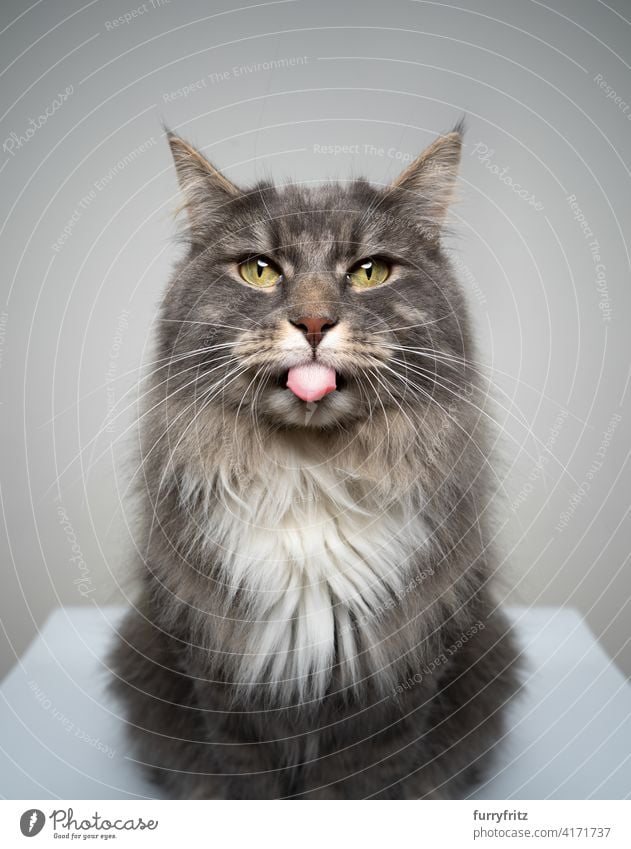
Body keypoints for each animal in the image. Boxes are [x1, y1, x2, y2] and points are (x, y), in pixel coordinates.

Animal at [111, 122, 520, 800]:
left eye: (369, 272)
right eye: (258, 270)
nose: (312, 322)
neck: (310, 476)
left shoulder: (395, 676)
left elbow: (363, 780)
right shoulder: (225, 675)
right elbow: (247, 780)